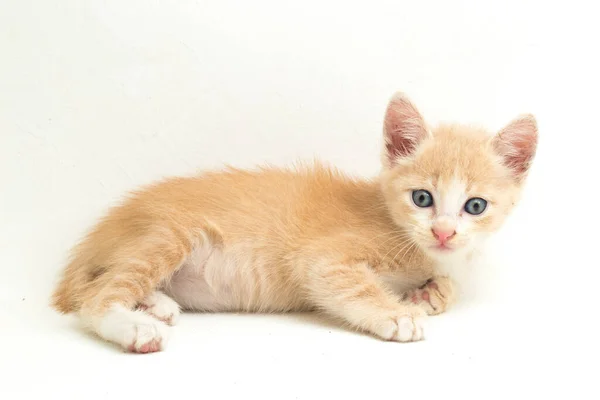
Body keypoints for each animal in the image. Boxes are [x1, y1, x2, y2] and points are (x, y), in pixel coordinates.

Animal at [51, 93, 540, 354]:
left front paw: (429, 293)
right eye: (423, 198)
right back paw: (135, 327)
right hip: (171, 234)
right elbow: (344, 281)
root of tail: (101, 231)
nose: (443, 231)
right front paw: (397, 314)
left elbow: (447, 285)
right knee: (94, 296)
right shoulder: (322, 258)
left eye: (474, 206)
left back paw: (156, 304)